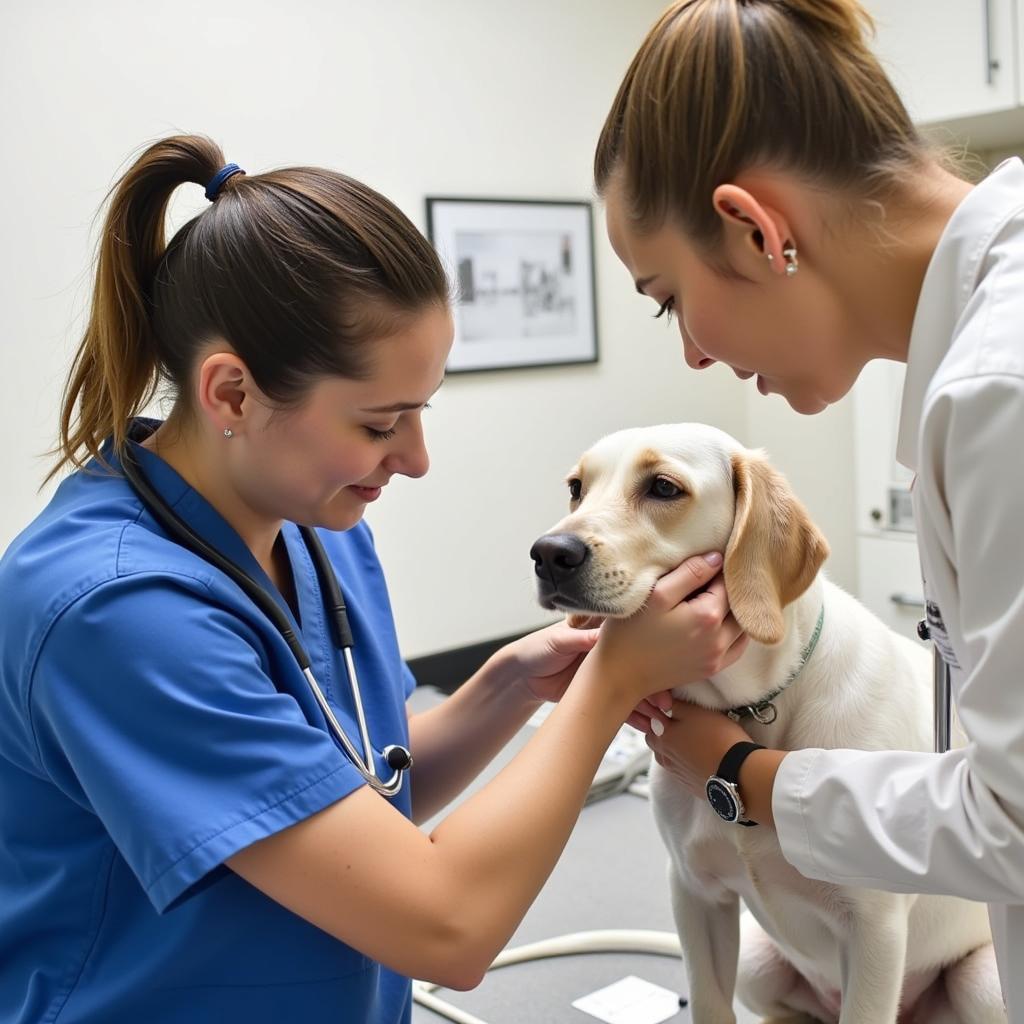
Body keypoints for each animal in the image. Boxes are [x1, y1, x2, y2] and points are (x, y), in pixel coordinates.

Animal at [532, 423, 1003, 1024]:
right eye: (576, 488)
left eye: (663, 487)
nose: (548, 553)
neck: (750, 711)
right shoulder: (695, 893)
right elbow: (710, 1003)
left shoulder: (875, 933)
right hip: (758, 960)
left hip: (981, 981)